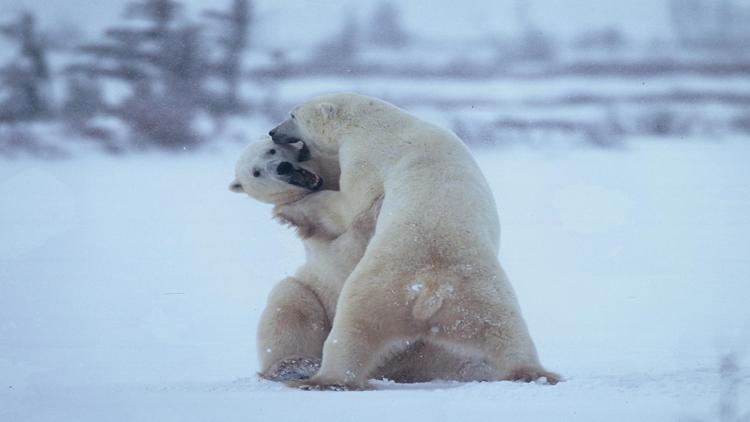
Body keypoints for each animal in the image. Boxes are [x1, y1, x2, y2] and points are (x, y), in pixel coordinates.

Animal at [231, 135, 500, 382]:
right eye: (256, 173)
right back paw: (294, 365)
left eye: (271, 150)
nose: (282, 168)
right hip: (317, 294)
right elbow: (347, 248)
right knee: (289, 301)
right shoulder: (326, 245)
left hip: (431, 346)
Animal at [270, 91, 560, 390]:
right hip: (480, 296)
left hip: (378, 287)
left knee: (351, 326)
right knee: (506, 331)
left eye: (293, 114)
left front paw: (289, 209)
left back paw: (325, 379)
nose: (272, 132)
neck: (376, 122)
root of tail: (430, 293)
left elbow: (349, 204)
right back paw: (532, 372)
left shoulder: (366, 157)